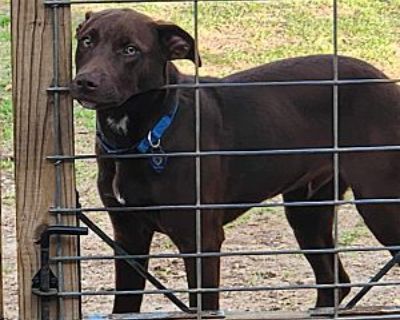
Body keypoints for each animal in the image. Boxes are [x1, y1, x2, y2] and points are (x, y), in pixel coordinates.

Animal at [70, 8, 400, 314]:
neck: (145, 134)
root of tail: (387, 82)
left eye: (130, 50)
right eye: (86, 40)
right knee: (335, 281)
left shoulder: (200, 239)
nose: (85, 82)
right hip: (307, 211)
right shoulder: (128, 236)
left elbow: (204, 305)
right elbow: (124, 305)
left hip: (379, 203)